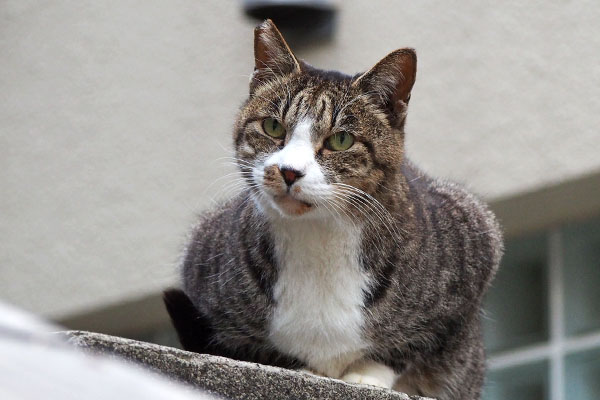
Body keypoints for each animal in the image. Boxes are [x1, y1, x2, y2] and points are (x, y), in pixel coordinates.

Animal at [163, 19, 502, 400]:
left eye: (341, 140)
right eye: (273, 126)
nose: (289, 171)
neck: (318, 238)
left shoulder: (476, 238)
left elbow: (412, 344)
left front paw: (367, 375)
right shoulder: (201, 260)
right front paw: (303, 368)